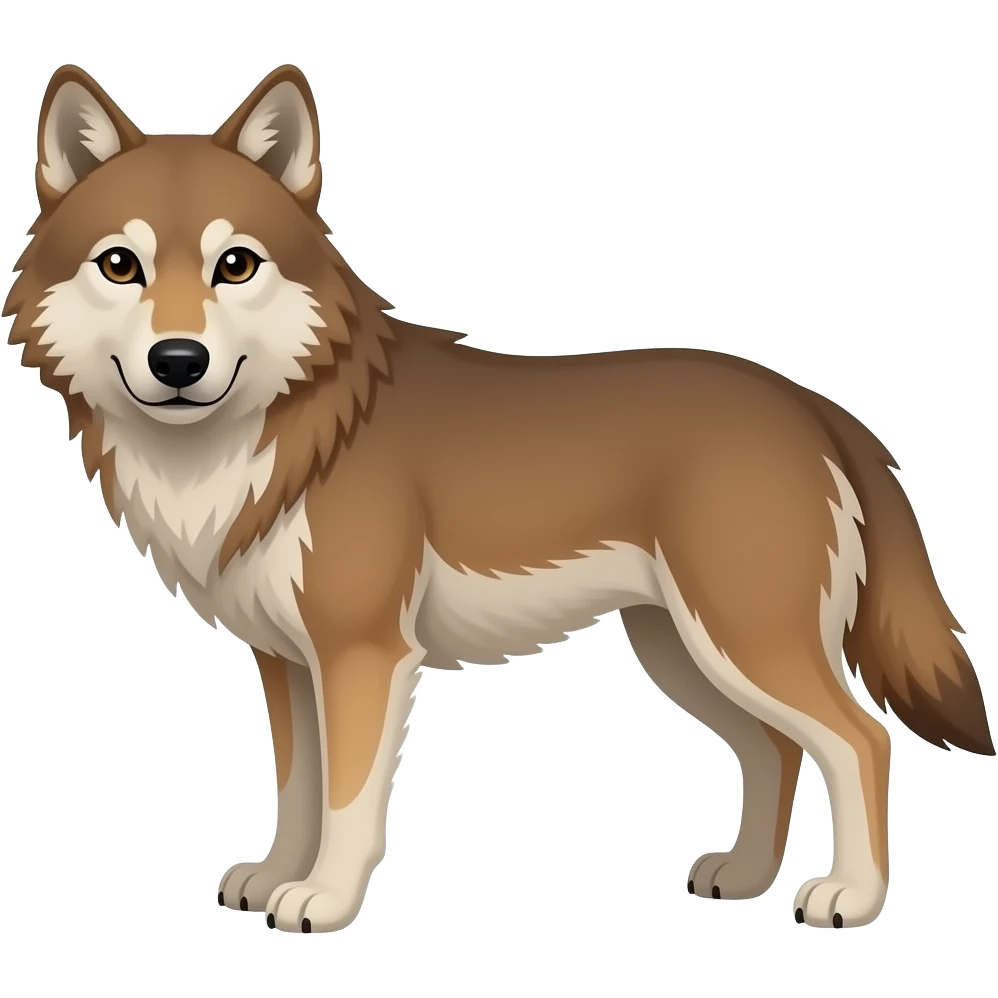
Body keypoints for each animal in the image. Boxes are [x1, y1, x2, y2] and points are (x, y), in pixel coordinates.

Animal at [3, 62, 993, 935]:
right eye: (121, 266)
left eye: (236, 265)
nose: (179, 362)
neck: (280, 433)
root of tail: (813, 404)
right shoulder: (285, 662)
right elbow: (299, 790)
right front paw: (277, 875)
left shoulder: (363, 655)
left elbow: (349, 800)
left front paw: (321, 901)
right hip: (683, 650)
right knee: (776, 748)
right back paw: (745, 876)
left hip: (742, 641)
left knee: (860, 741)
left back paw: (848, 899)